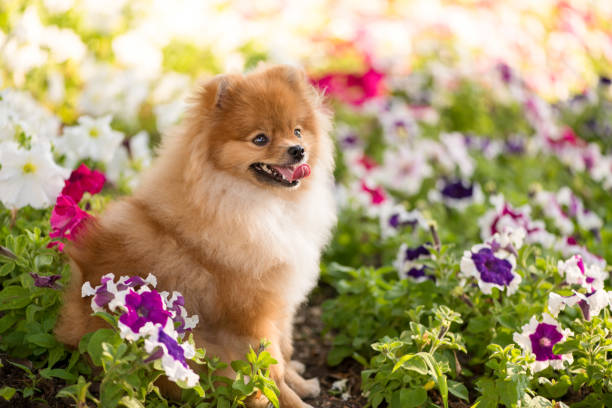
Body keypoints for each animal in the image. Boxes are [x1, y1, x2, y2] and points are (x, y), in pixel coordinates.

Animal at [54, 65, 338, 406]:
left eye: (297, 131)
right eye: (260, 139)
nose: (298, 150)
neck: (262, 205)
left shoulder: (279, 303)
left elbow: (282, 352)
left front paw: (302, 382)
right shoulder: (250, 315)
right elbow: (270, 371)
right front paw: (295, 400)